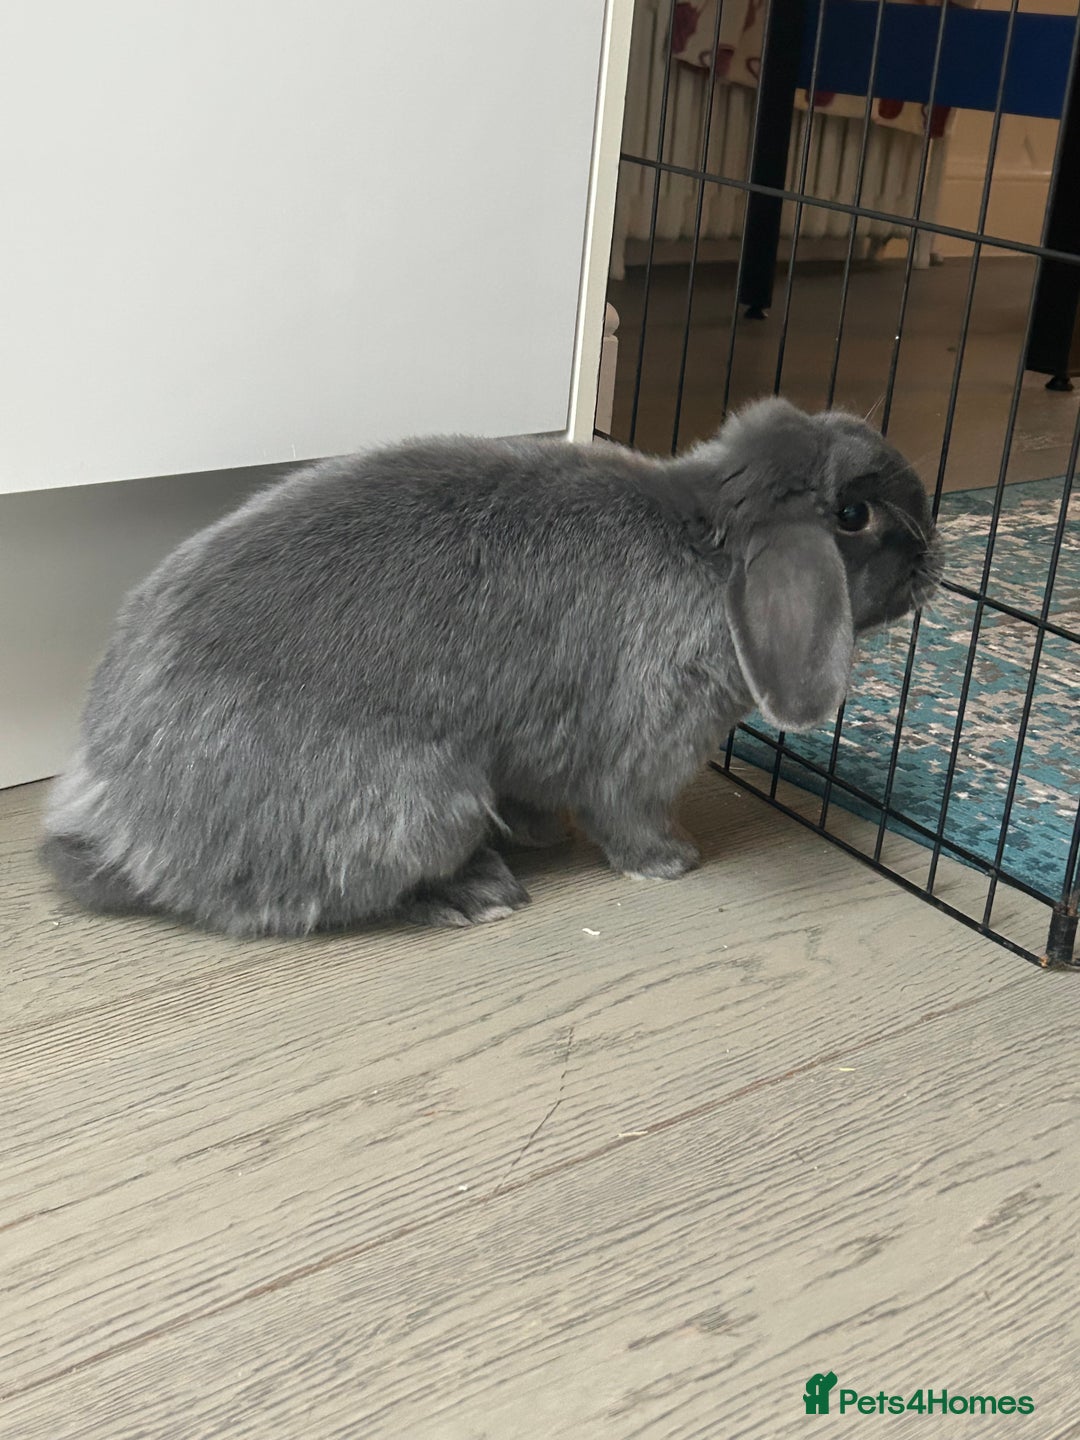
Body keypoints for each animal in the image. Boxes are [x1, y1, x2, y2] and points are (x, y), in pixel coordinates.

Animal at [42, 396, 941, 937]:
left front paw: (546, 833)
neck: (707, 547)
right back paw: (481, 892)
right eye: (854, 515)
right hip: (426, 802)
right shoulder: (643, 749)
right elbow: (629, 813)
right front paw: (673, 862)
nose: (935, 561)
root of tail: (130, 828)